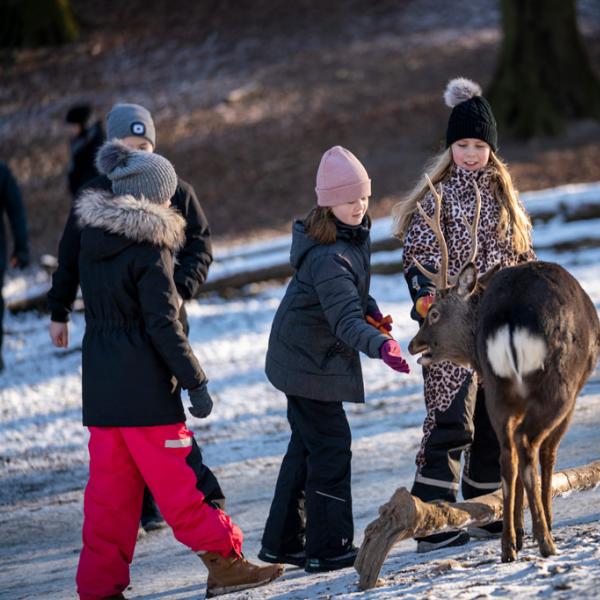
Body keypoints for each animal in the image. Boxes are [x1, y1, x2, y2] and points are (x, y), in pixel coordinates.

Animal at [406, 176, 596, 560]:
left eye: (435, 314)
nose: (413, 344)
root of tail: (510, 316)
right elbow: (550, 456)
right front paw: (543, 524)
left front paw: (520, 533)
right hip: (558, 381)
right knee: (529, 448)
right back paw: (545, 539)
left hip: (498, 386)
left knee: (509, 457)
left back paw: (510, 544)